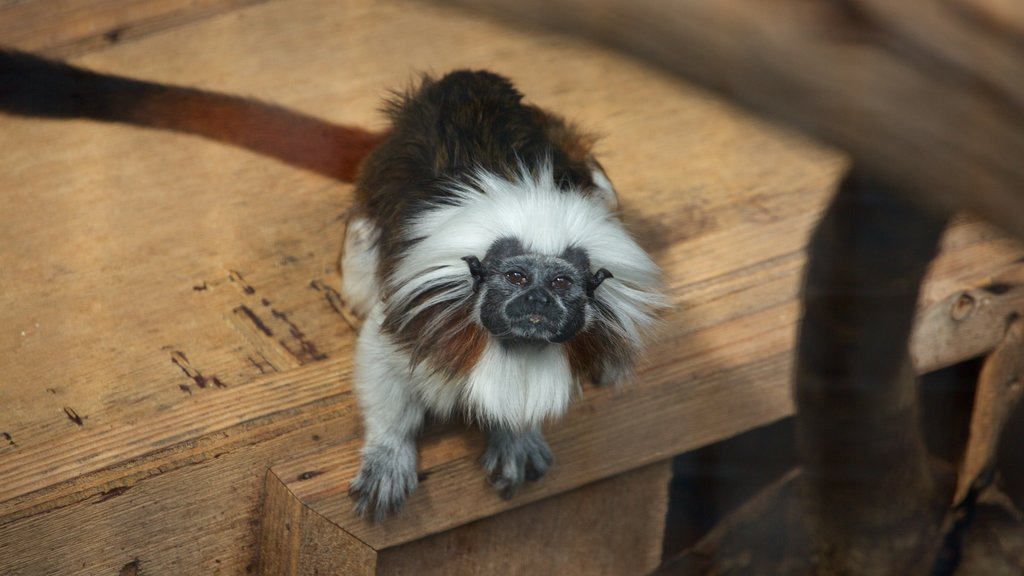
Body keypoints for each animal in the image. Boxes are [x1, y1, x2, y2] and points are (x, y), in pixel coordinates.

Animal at [0, 49, 667, 518]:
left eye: (561, 286)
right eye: (516, 278)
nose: (535, 304)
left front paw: (514, 432)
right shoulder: (417, 307)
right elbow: (381, 352)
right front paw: (390, 450)